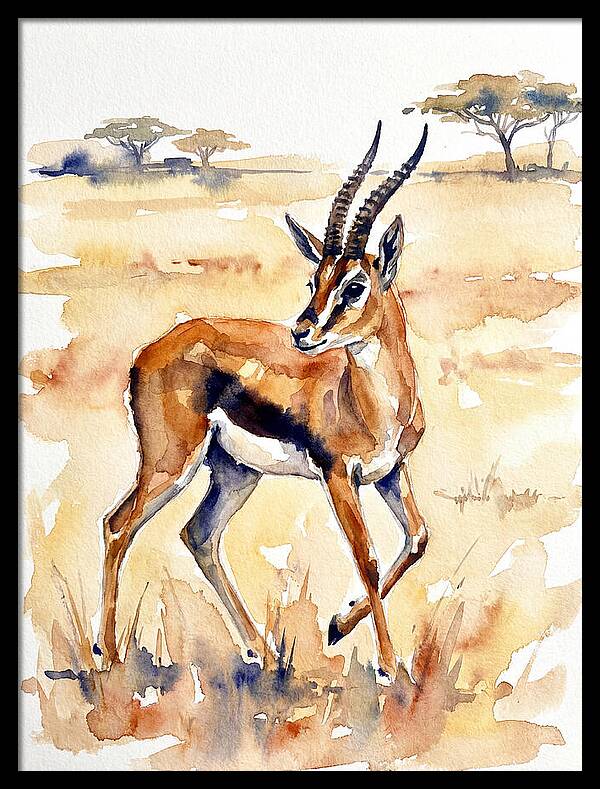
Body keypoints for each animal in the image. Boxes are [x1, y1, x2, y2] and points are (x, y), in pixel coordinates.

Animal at [99, 121, 430, 680]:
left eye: (354, 285)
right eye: (314, 279)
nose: (302, 332)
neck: (374, 403)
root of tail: (148, 351)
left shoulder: (390, 471)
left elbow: (418, 538)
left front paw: (337, 625)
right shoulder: (339, 475)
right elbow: (367, 557)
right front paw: (388, 665)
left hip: (234, 471)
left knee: (199, 535)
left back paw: (264, 652)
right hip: (170, 462)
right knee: (118, 526)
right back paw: (107, 656)